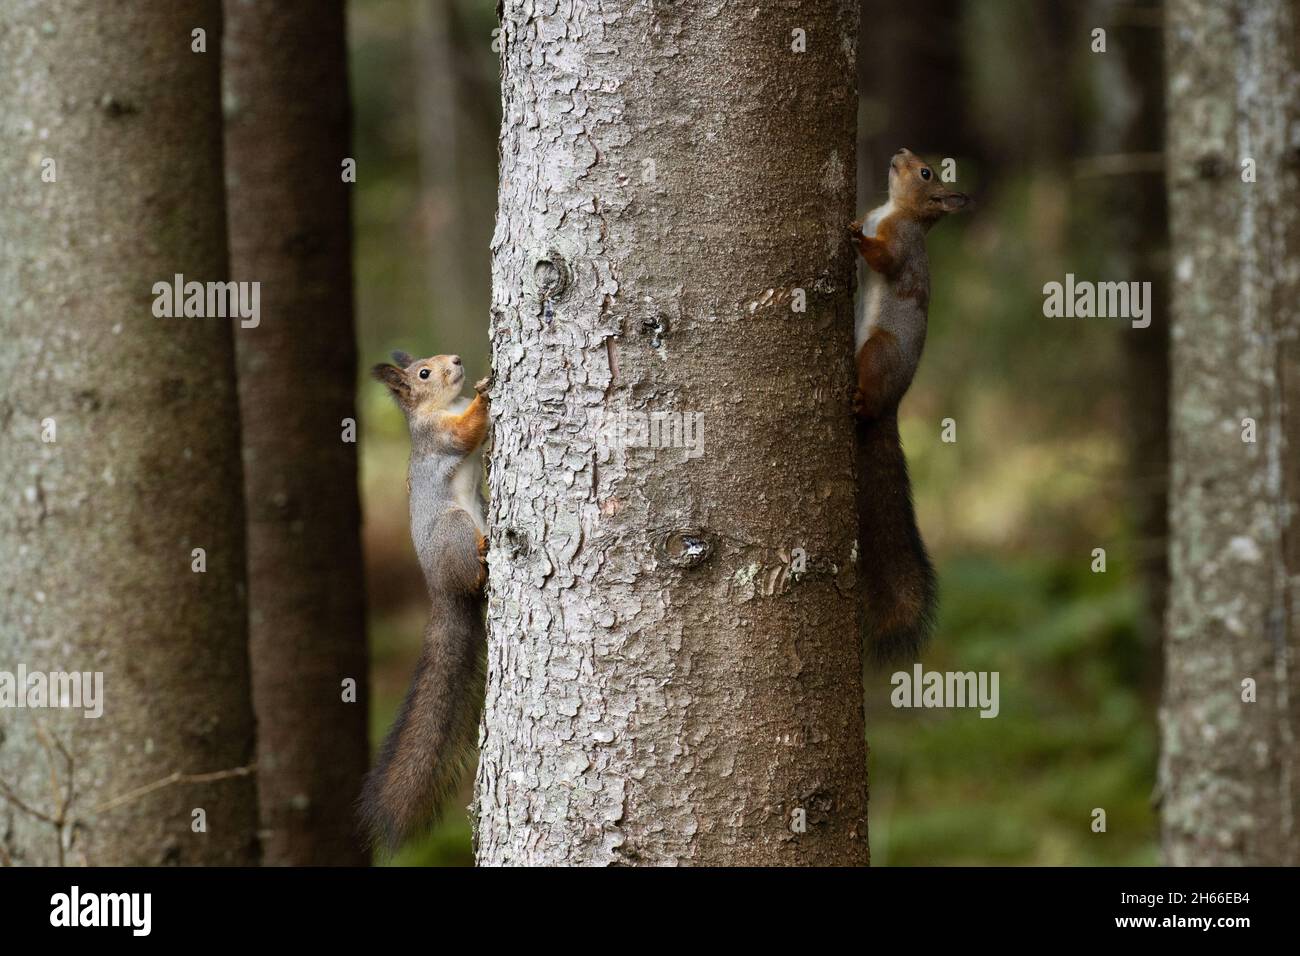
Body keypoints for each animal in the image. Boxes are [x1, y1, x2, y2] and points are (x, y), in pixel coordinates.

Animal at [359, 349, 490, 851]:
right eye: (423, 373)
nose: (456, 358)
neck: (443, 405)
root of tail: (441, 590)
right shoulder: (441, 436)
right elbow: (467, 431)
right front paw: (485, 392)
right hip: (455, 528)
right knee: (474, 575)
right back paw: (485, 554)